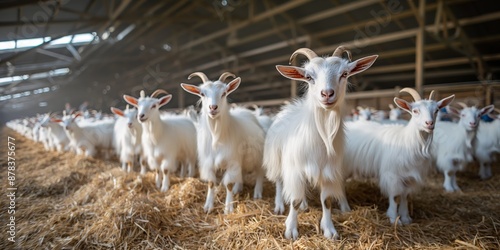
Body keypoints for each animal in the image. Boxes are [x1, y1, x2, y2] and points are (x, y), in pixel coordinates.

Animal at [182, 71, 268, 214]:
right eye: (202, 94)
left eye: (224, 93)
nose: (213, 107)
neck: (217, 137)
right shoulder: (209, 163)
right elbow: (211, 183)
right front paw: (208, 206)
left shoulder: (232, 161)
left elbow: (228, 184)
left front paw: (228, 208)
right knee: (241, 172)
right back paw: (238, 188)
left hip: (257, 155)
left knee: (259, 173)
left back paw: (257, 193)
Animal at [264, 47, 376, 240]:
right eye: (309, 77)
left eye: (344, 74)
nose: (327, 94)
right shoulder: (294, 169)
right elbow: (294, 200)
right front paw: (291, 229)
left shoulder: (328, 172)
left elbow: (327, 201)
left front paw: (329, 229)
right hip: (277, 158)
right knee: (279, 182)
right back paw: (279, 205)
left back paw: (304, 205)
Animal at [346, 89, 456, 225]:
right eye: (415, 111)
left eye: (436, 110)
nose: (429, 123)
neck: (407, 141)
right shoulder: (392, 175)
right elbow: (395, 196)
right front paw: (394, 219)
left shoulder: (409, 177)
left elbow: (405, 196)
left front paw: (405, 218)